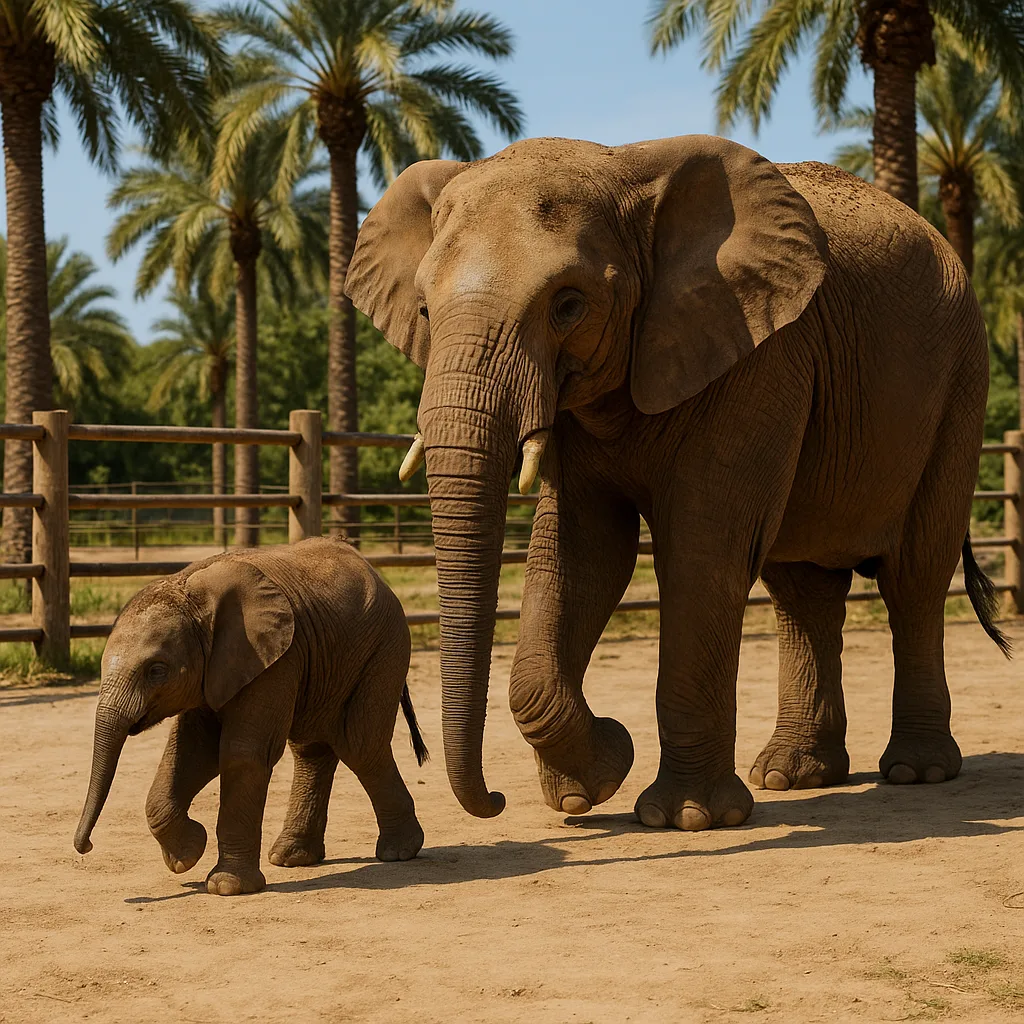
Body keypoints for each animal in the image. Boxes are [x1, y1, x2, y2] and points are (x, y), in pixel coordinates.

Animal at [73, 538, 427, 894]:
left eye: (156, 671)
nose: (85, 847)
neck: (190, 592)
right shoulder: (219, 668)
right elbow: (191, 751)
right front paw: (187, 856)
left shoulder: (276, 658)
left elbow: (242, 753)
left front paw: (225, 886)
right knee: (313, 749)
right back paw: (290, 857)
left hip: (383, 649)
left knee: (360, 746)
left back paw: (398, 852)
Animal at [344, 133, 1010, 832]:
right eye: (424, 309)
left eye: (568, 304)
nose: (494, 802)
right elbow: (582, 553)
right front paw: (591, 784)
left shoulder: (760, 353)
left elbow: (702, 549)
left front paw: (684, 817)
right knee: (802, 590)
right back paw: (791, 775)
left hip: (961, 385)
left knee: (915, 575)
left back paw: (915, 771)